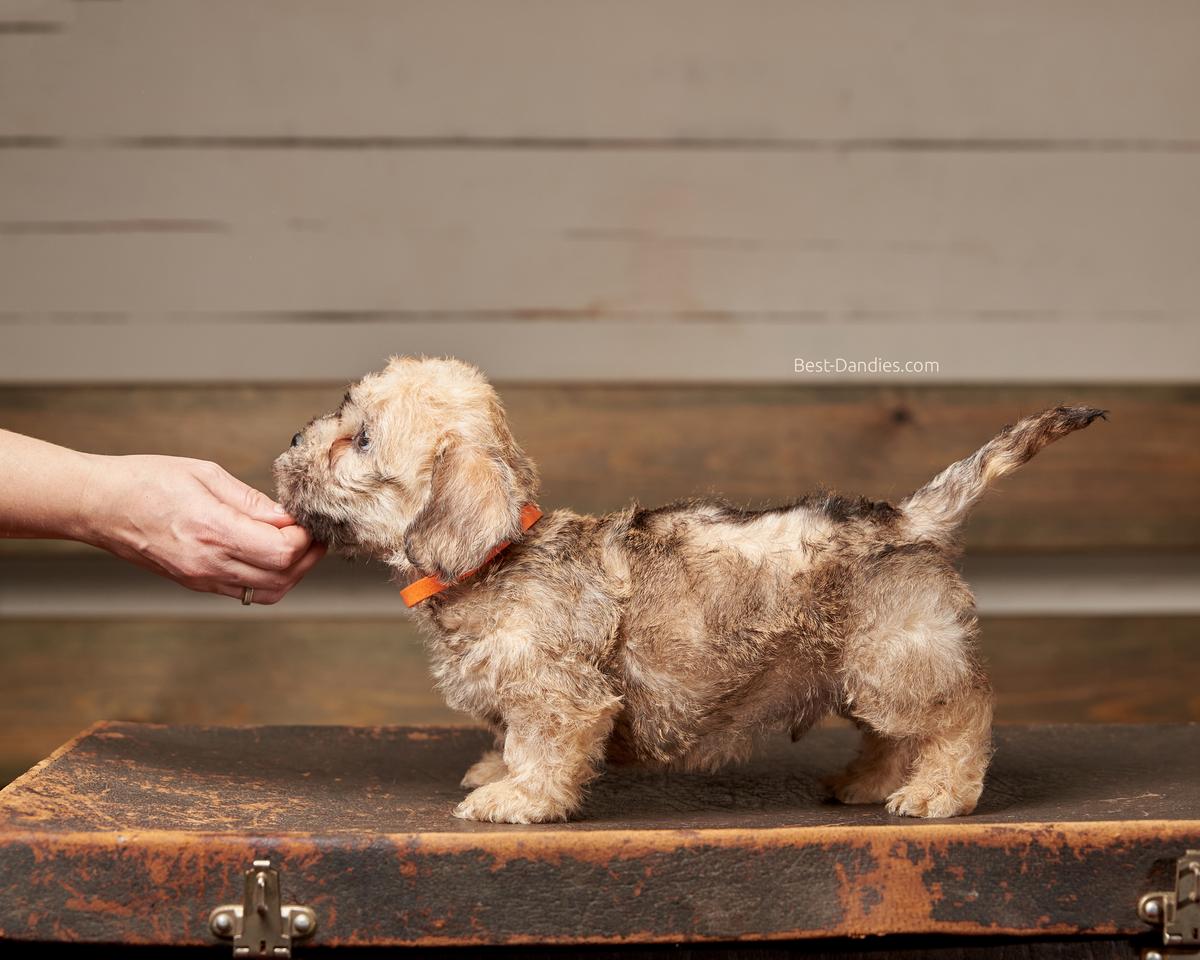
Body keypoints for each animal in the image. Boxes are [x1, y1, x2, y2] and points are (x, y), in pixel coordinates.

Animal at [274, 355, 1104, 820]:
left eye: (362, 440)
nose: (290, 441)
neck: (502, 557)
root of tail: (908, 517)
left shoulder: (562, 697)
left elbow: (541, 749)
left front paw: (516, 797)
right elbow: (510, 736)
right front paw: (497, 769)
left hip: (897, 663)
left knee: (961, 715)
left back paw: (942, 792)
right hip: (864, 669)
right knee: (893, 737)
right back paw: (870, 782)